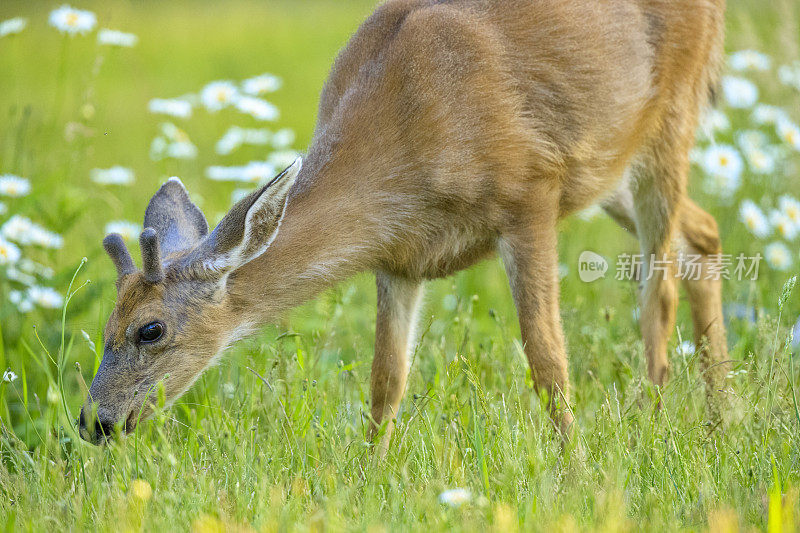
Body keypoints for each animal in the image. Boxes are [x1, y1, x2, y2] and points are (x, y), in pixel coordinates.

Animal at [79, 0, 732, 450]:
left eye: (149, 330)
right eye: (106, 326)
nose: (93, 422)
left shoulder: (531, 193)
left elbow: (547, 359)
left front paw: (573, 466)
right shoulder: (399, 260)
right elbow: (386, 382)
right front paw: (368, 472)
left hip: (670, 119)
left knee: (659, 285)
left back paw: (654, 420)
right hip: (610, 170)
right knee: (703, 233)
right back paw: (722, 416)